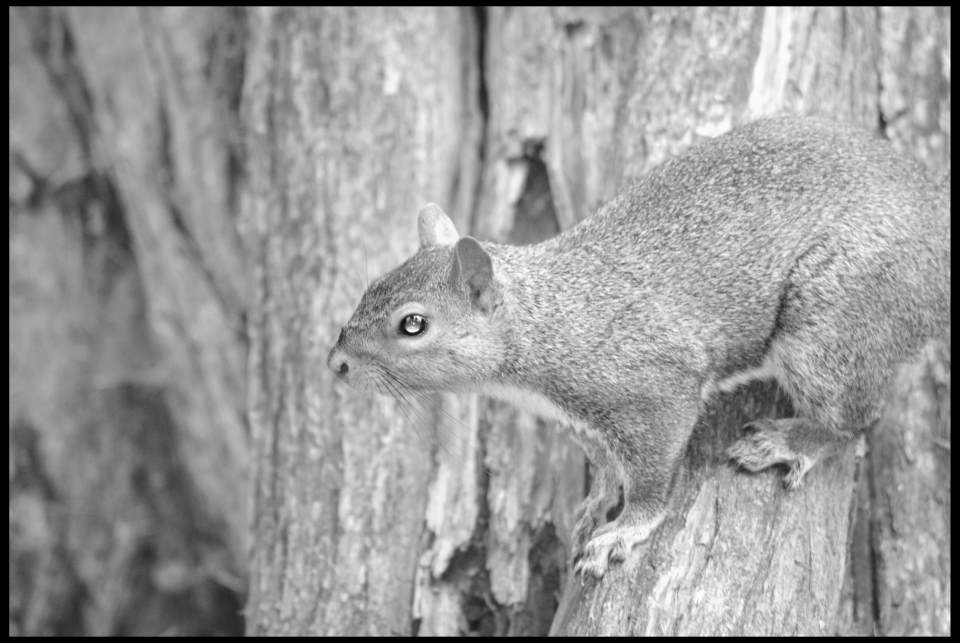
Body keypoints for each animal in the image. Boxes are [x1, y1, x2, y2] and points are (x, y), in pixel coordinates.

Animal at [328, 114, 952, 580]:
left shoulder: (652, 391)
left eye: (413, 324)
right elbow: (607, 465)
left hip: (829, 328)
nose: (336, 363)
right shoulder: (584, 421)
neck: (546, 323)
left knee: (854, 420)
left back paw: (785, 439)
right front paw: (595, 501)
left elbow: (653, 478)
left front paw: (624, 530)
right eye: (371, 285)